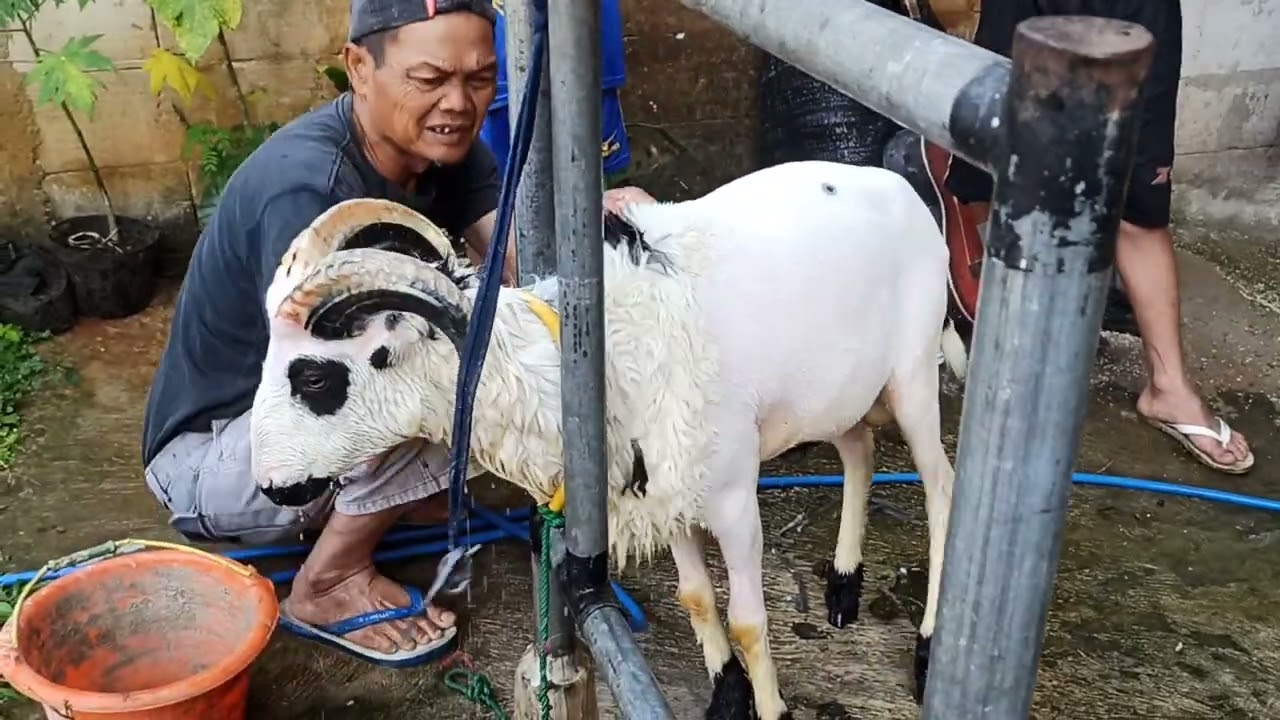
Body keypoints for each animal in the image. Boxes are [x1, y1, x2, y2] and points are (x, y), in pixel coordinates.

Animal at [250, 160, 965, 718]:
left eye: (313, 375)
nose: (271, 486)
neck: (574, 365)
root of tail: (900, 186)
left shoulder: (732, 496)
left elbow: (748, 621)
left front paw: (769, 707)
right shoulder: (668, 493)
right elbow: (697, 599)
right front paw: (727, 695)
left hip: (911, 374)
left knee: (941, 486)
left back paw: (930, 649)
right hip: (841, 391)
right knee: (859, 453)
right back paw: (843, 587)